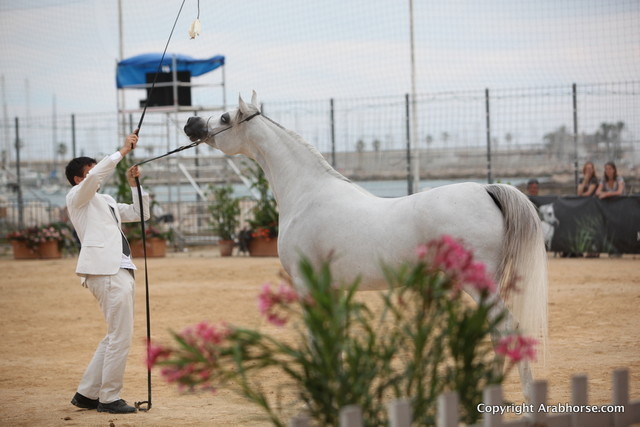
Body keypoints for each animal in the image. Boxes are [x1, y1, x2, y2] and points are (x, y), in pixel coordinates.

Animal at [183, 92, 548, 398]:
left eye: (225, 117)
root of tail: (486, 189)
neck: (308, 193)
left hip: (478, 283)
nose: (191, 123)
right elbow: (334, 337)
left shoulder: (306, 284)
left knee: (506, 328)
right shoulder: (331, 287)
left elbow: (319, 337)